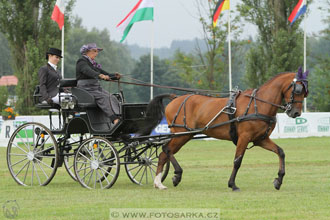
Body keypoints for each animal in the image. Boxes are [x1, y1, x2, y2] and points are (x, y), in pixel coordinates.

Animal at [141, 68, 308, 191]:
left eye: (306, 92)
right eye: (298, 90)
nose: (296, 113)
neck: (259, 104)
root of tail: (176, 98)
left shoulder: (260, 139)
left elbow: (280, 152)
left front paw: (278, 180)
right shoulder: (244, 137)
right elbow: (237, 161)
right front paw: (232, 184)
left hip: (184, 135)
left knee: (163, 154)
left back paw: (159, 182)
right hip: (181, 134)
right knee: (166, 149)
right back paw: (176, 175)